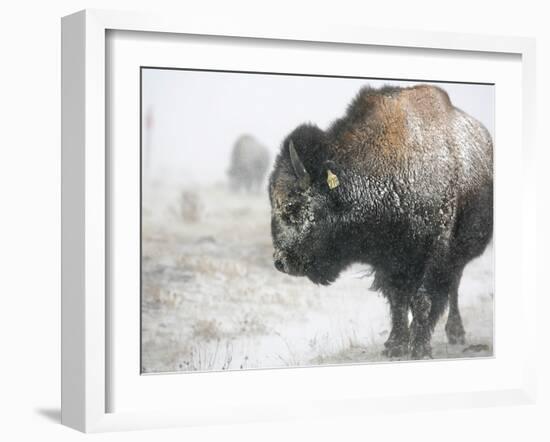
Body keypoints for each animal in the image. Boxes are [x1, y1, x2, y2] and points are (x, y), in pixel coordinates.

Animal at [270, 85, 494, 360]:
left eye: (293, 207)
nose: (281, 262)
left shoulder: (435, 251)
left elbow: (423, 299)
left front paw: (420, 349)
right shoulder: (389, 259)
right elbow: (398, 300)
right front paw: (395, 345)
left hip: (460, 253)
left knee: (453, 286)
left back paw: (456, 333)